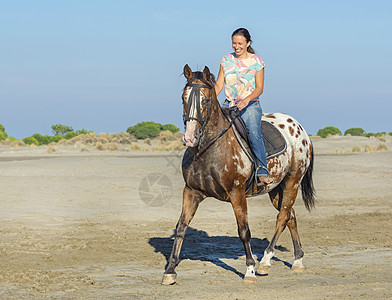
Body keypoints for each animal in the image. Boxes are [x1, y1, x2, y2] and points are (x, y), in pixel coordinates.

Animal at [162, 64, 316, 284]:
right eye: (183, 98)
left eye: (205, 100)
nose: (190, 138)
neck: (209, 149)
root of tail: (300, 129)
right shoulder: (191, 191)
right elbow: (181, 227)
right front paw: (170, 270)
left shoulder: (237, 193)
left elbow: (244, 231)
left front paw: (250, 270)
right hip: (275, 188)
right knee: (290, 216)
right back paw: (297, 261)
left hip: (292, 182)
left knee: (282, 217)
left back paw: (265, 261)